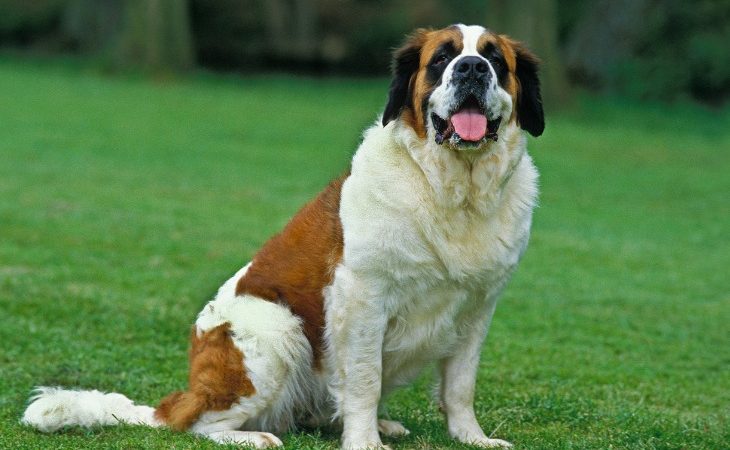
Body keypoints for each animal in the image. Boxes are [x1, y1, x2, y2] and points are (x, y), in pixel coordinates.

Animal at [21, 23, 540, 450]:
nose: (471, 68)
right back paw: (257, 437)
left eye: (495, 60)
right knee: (198, 425)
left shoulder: (478, 307)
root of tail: (185, 396)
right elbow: (364, 379)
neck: (453, 191)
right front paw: (364, 443)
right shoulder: (361, 298)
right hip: (276, 329)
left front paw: (472, 438)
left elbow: (460, 384)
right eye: (442, 59)